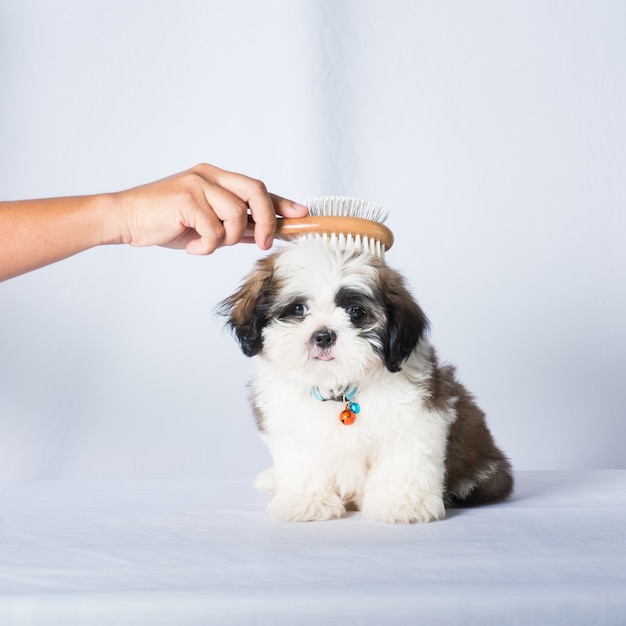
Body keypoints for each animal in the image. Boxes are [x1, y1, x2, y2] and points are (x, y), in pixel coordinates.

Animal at [219, 239, 512, 520]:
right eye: (298, 309)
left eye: (355, 312)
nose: (323, 335)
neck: (339, 388)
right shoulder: (293, 429)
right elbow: (304, 463)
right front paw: (306, 503)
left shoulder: (417, 418)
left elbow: (404, 460)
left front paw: (402, 505)